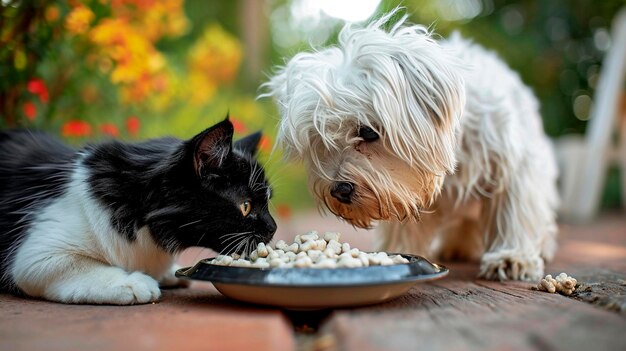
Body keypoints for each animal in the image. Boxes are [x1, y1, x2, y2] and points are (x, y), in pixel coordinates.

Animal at [0, 117, 276, 306]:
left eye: (267, 201)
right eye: (246, 206)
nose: (273, 227)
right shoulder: (38, 254)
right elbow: (74, 265)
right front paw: (130, 282)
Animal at [262, 12, 556, 282]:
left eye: (368, 132)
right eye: (320, 140)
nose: (339, 190)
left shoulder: (513, 166)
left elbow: (513, 212)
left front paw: (512, 256)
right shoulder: (403, 190)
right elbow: (405, 226)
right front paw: (398, 251)